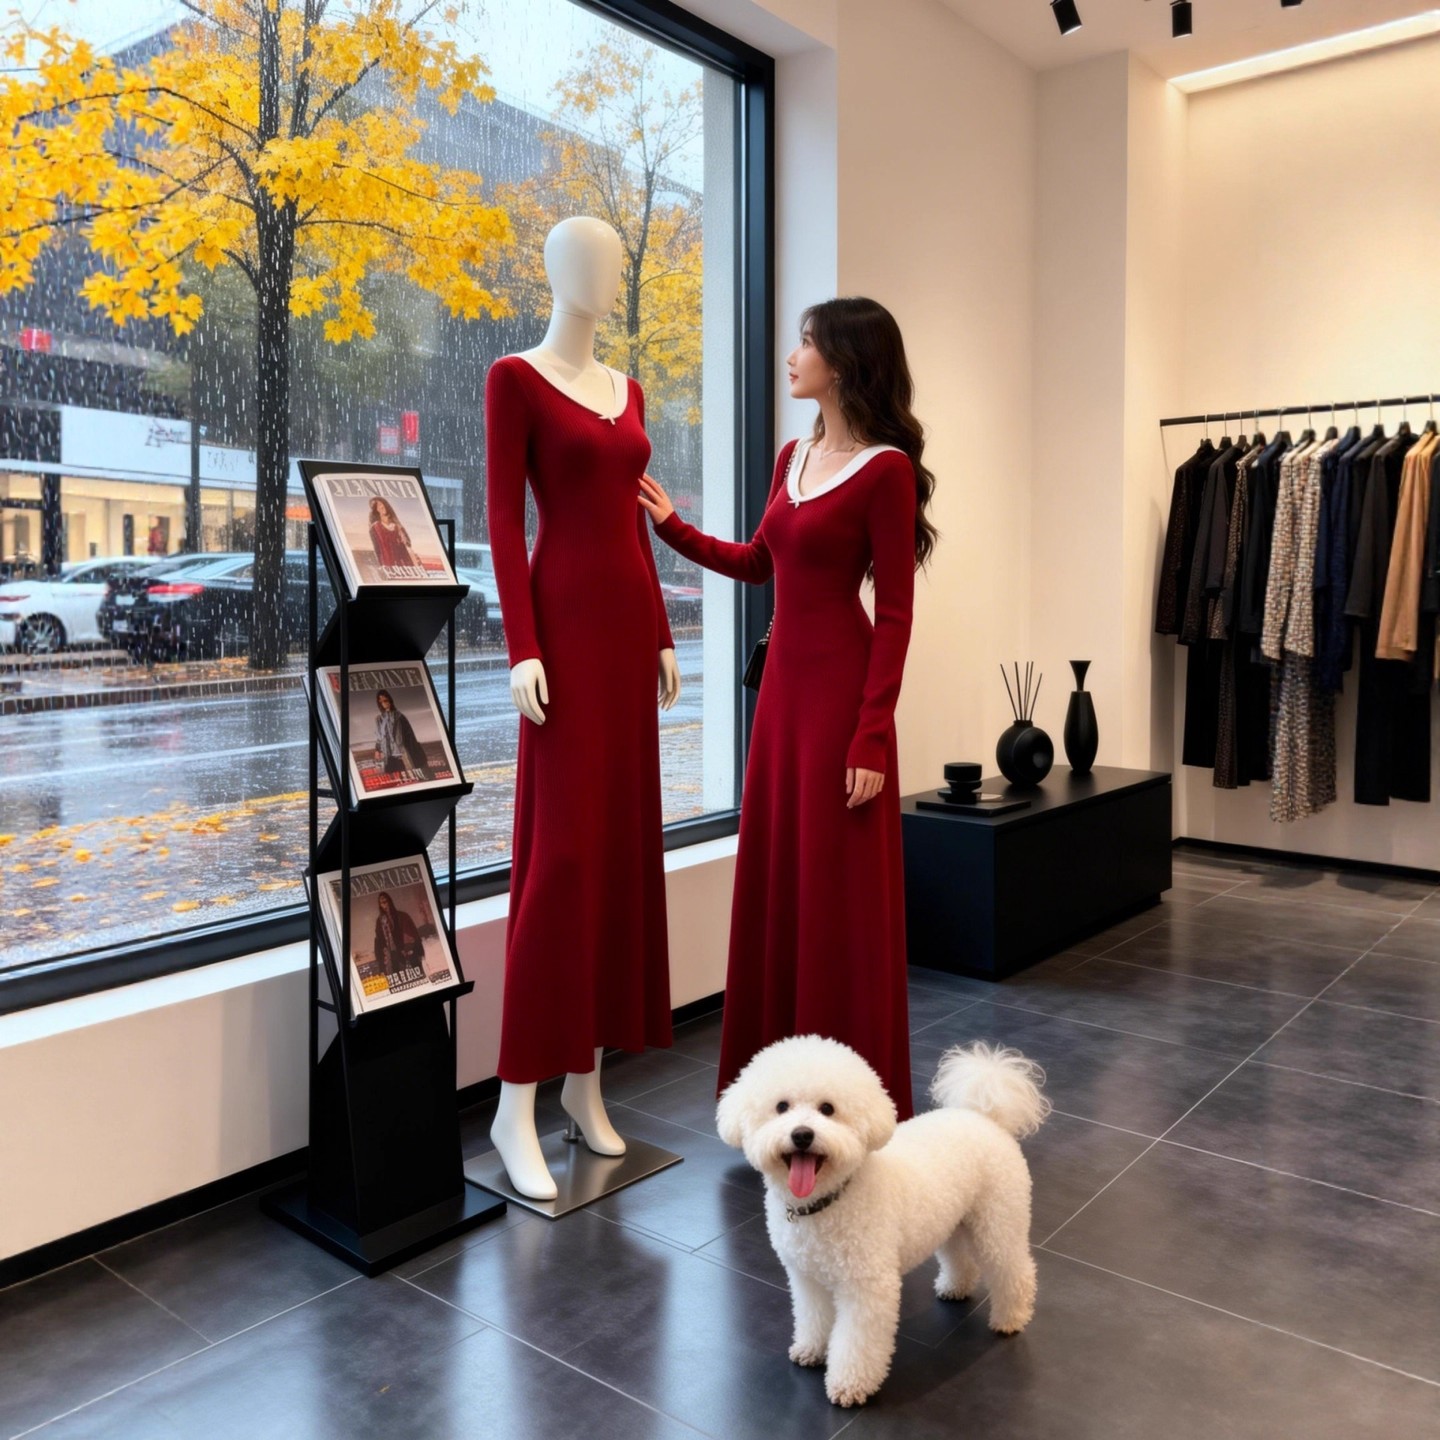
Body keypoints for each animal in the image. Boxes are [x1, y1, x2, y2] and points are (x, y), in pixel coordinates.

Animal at [716, 1034, 1049, 1407]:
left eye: (827, 1109)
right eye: (781, 1107)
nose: (802, 1135)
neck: (828, 1201)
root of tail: (983, 1116)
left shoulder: (867, 1287)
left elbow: (856, 1341)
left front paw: (850, 1385)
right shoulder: (807, 1278)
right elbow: (813, 1317)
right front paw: (811, 1350)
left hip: (998, 1221)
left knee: (1015, 1270)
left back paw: (1012, 1318)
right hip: (954, 1219)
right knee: (959, 1257)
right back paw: (955, 1287)